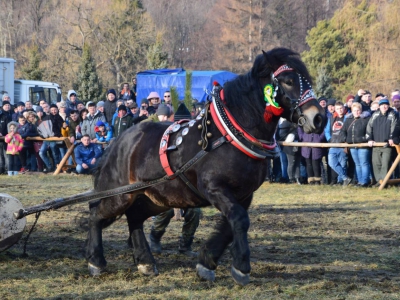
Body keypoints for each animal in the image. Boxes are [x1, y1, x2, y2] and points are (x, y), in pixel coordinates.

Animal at [86, 48, 326, 284]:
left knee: (134, 217)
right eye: (288, 80)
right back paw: (96, 261)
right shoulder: (214, 188)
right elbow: (240, 220)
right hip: (120, 195)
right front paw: (241, 267)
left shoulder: (244, 194)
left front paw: (207, 262)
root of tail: (120, 140)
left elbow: (231, 225)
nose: (318, 118)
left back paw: (145, 261)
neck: (230, 135)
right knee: (97, 213)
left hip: (156, 198)